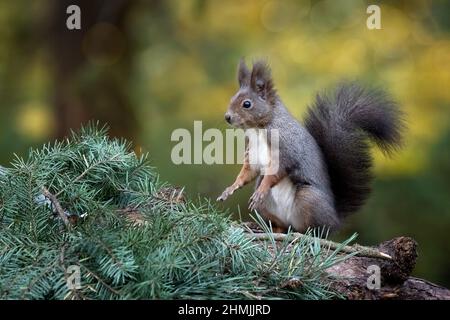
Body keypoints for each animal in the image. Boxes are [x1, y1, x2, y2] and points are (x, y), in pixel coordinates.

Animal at [217, 58, 404, 232]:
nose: (227, 117)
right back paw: (272, 229)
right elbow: (247, 173)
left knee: (315, 229)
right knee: (282, 225)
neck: (258, 129)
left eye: (247, 104)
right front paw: (229, 189)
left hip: (308, 199)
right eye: (232, 98)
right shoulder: (252, 154)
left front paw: (261, 190)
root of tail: (335, 218)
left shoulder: (287, 147)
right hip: (268, 209)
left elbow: (277, 171)